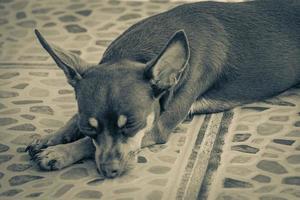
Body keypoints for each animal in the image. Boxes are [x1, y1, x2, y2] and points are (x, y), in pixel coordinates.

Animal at [26, 0, 300, 178]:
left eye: (132, 125)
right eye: (88, 128)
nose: (109, 171)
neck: (136, 53)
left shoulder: (157, 127)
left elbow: (87, 146)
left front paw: (59, 152)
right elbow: (75, 122)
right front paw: (51, 138)